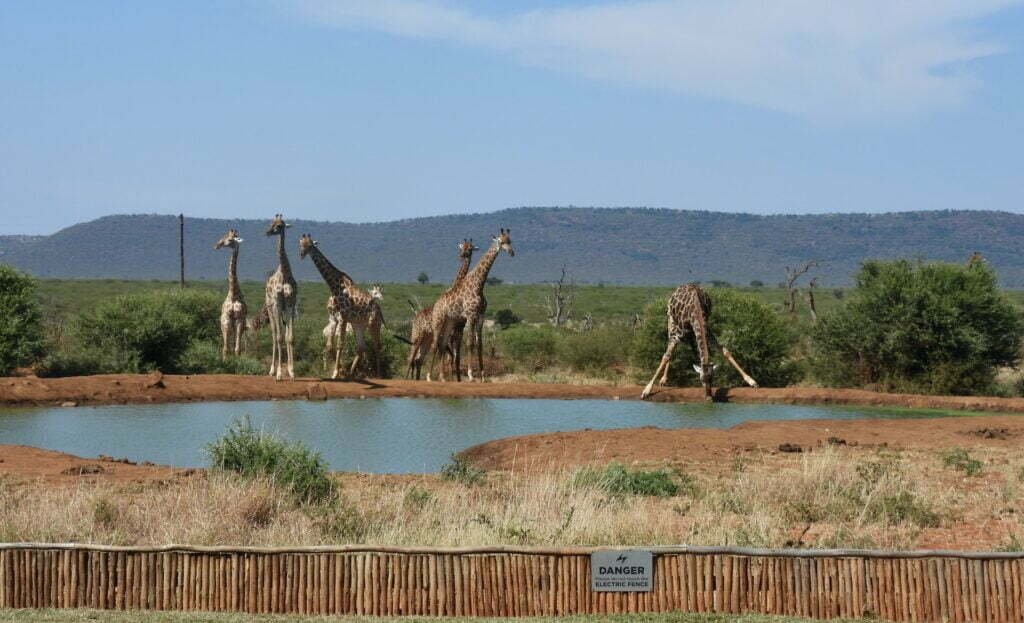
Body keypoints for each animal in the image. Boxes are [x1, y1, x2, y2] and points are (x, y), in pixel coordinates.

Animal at [213, 229, 247, 360]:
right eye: (226, 236)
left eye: (229, 239)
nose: (216, 245)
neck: (233, 294)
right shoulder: (226, 320)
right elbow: (226, 349)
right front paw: (225, 362)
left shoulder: (239, 320)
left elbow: (237, 349)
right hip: (224, 325)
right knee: (226, 346)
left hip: (236, 326)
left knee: (233, 346)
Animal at [299, 234, 388, 379]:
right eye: (300, 243)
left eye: (311, 244)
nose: (302, 254)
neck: (334, 287)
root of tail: (379, 310)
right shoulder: (333, 319)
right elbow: (329, 346)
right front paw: (334, 370)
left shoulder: (343, 318)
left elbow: (340, 344)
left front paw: (336, 372)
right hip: (359, 325)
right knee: (361, 347)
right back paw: (351, 373)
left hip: (373, 324)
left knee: (376, 346)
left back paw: (378, 375)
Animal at [406, 239, 478, 380]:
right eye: (462, 247)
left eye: (470, 248)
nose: (462, 256)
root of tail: (416, 316)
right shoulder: (451, 333)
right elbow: (448, 355)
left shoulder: (457, 331)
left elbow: (454, 357)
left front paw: (456, 379)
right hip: (417, 335)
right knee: (411, 358)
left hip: (427, 338)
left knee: (418, 359)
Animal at [426, 229, 514, 382]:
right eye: (501, 241)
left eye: (510, 241)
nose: (511, 252)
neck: (478, 285)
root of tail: (436, 304)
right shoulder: (470, 316)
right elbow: (469, 343)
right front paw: (471, 374)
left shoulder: (480, 316)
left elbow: (479, 344)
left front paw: (483, 376)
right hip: (438, 321)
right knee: (435, 344)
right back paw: (429, 376)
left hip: (449, 323)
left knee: (443, 345)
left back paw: (443, 377)